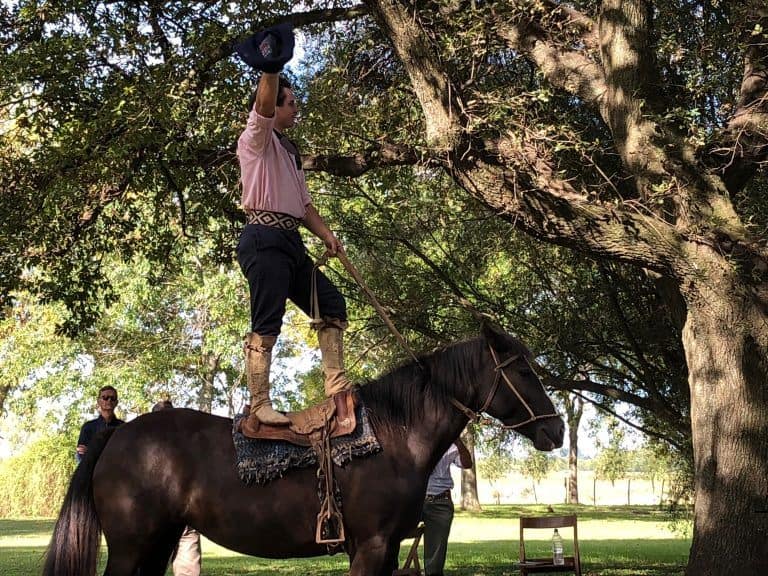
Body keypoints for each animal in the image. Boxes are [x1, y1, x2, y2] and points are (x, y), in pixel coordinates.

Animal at [43, 324, 564, 576]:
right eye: (522, 370)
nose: (557, 429)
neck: (394, 436)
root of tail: (118, 433)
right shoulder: (371, 546)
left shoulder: (390, 548)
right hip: (131, 547)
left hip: (158, 543)